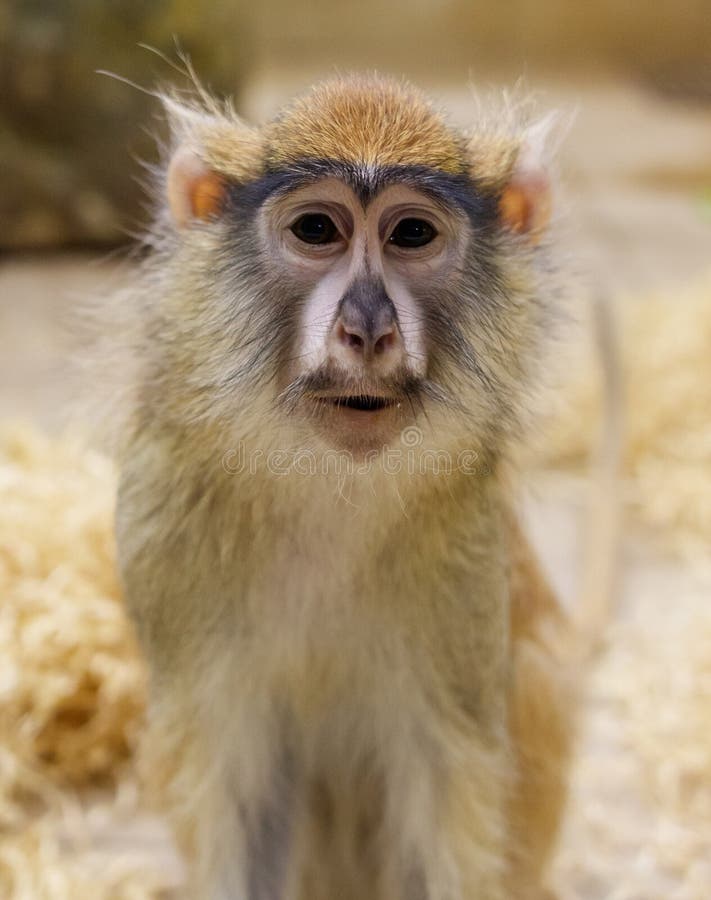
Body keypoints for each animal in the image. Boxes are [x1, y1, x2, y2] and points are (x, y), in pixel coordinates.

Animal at [109, 74, 584, 900]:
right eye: (316, 229)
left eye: (411, 235)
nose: (366, 327)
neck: (325, 482)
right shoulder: (162, 523)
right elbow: (239, 787)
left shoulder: (462, 565)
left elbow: (441, 788)